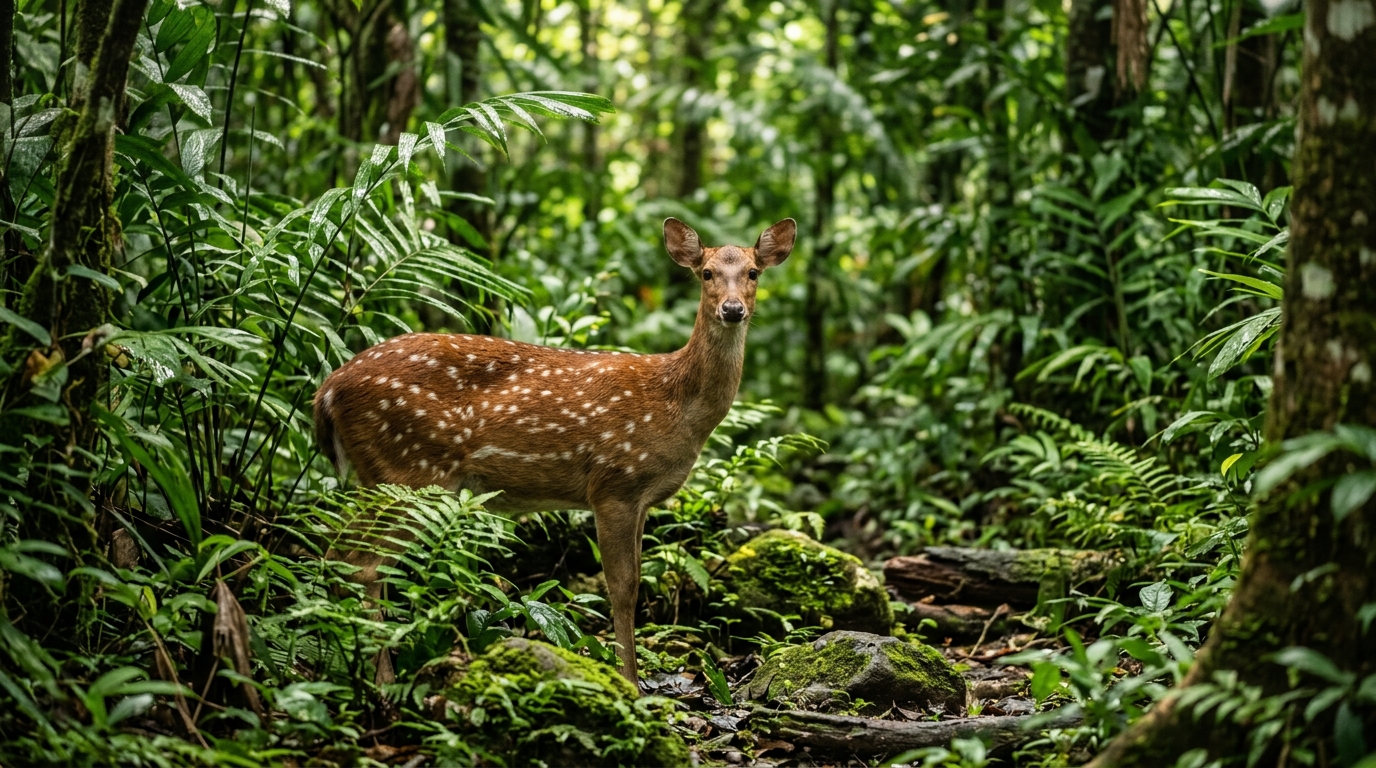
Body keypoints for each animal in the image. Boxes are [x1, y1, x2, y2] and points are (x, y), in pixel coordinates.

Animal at [312, 217, 796, 685]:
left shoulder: (641, 498)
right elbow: (622, 587)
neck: (675, 403)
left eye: (753, 272)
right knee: (361, 563)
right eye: (707, 272)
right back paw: (379, 680)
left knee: (341, 554)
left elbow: (633, 582)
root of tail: (327, 391)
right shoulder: (614, 483)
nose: (732, 309)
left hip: (384, 475)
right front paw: (630, 683)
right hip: (409, 468)